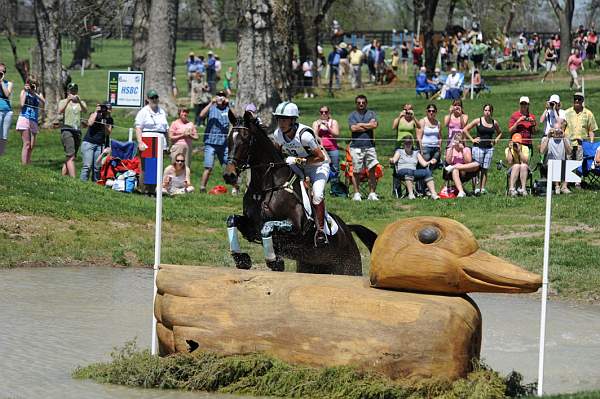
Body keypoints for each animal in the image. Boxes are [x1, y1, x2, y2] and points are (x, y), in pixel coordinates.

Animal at [223, 111, 378, 276]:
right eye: (229, 139)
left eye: (245, 139)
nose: (229, 175)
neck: (264, 188)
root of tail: (347, 229)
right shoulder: (251, 225)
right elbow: (232, 220)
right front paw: (241, 259)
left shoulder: (296, 228)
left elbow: (267, 227)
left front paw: (274, 261)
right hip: (310, 266)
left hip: (350, 267)